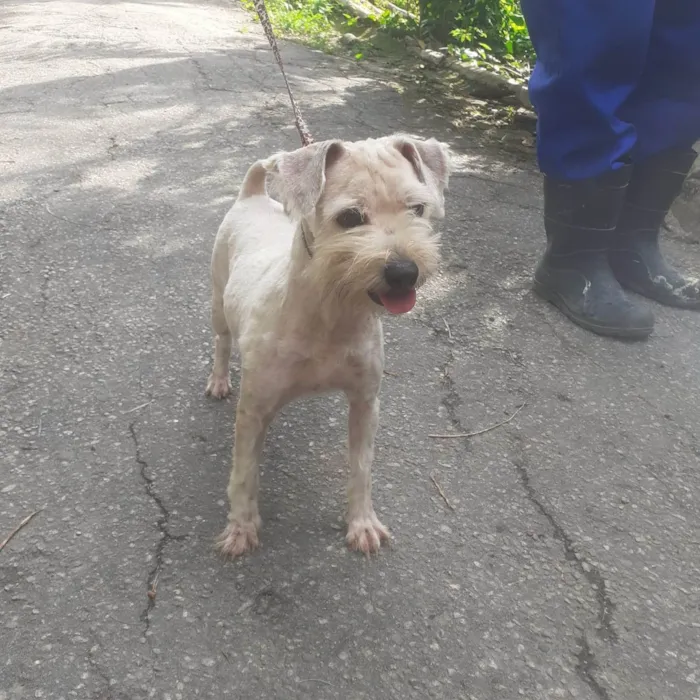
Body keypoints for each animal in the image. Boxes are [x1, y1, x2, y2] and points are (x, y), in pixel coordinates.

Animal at [205, 133, 452, 556]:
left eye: (417, 208)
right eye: (350, 217)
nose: (405, 272)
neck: (330, 311)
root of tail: (253, 196)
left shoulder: (365, 403)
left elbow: (362, 467)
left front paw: (362, 522)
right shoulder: (252, 412)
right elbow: (244, 472)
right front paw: (241, 527)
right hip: (219, 299)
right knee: (222, 342)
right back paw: (219, 379)